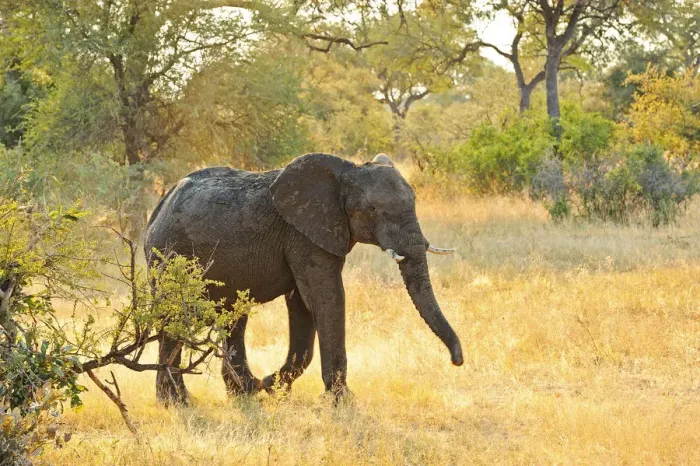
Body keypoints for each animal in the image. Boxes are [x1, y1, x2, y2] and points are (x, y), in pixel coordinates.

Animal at [144, 152, 463, 403]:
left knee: (235, 316)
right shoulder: (303, 235)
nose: (457, 361)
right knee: (174, 316)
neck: (346, 172)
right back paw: (177, 402)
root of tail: (159, 206)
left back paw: (243, 391)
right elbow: (325, 298)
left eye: (415, 201)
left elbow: (302, 304)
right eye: (372, 210)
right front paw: (341, 401)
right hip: (169, 254)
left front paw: (272, 387)